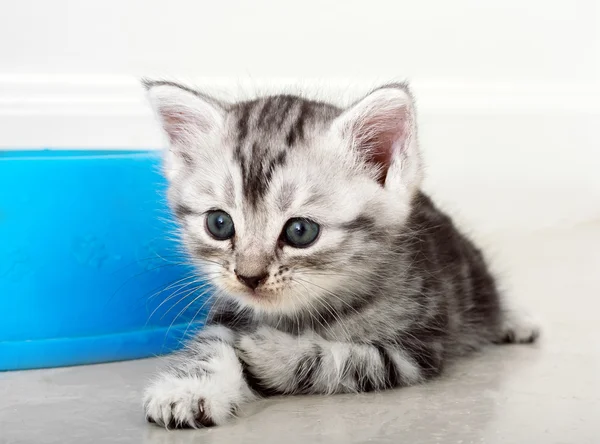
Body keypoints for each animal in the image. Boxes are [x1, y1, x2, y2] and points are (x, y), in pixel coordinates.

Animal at [142, 80, 540, 430]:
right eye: (219, 224)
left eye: (300, 231)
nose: (249, 276)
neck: (302, 312)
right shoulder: (227, 311)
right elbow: (210, 345)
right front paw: (188, 389)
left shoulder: (416, 348)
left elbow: (339, 359)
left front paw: (267, 351)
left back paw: (515, 322)